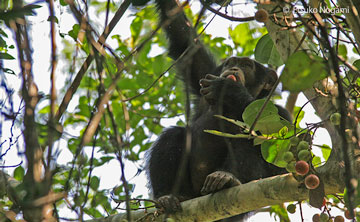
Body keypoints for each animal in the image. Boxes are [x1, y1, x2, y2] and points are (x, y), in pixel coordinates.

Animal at [145, 0, 292, 220]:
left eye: (246, 65)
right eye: (230, 62)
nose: (233, 69)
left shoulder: (282, 115)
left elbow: (281, 160)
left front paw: (229, 90)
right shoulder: (204, 74)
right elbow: (185, 43)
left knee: (245, 139)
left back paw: (226, 178)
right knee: (175, 134)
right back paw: (167, 197)